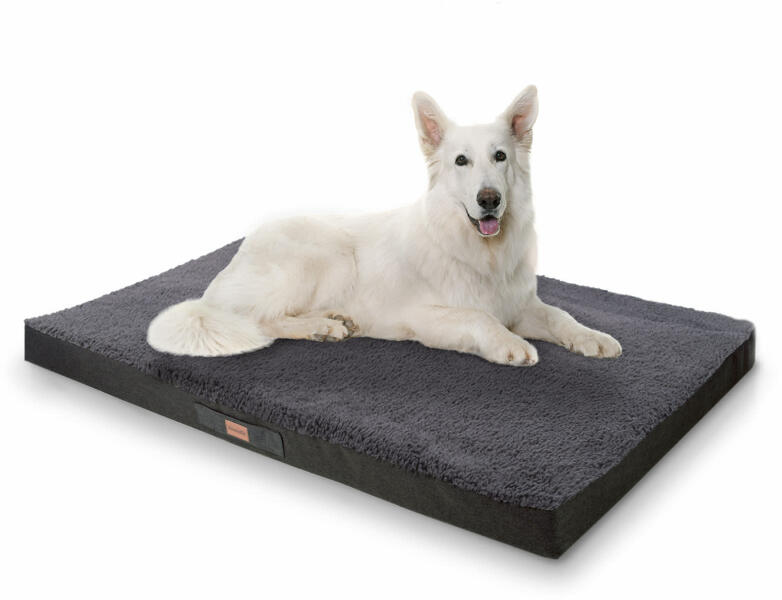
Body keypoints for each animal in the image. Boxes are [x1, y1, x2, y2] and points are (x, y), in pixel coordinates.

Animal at [147, 87, 621, 366]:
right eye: (461, 161)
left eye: (500, 156)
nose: (489, 200)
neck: (480, 252)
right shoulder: (423, 316)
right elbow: (479, 318)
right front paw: (509, 345)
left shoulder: (522, 305)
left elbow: (560, 315)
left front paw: (592, 338)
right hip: (329, 255)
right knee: (260, 320)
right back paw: (320, 328)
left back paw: (330, 318)